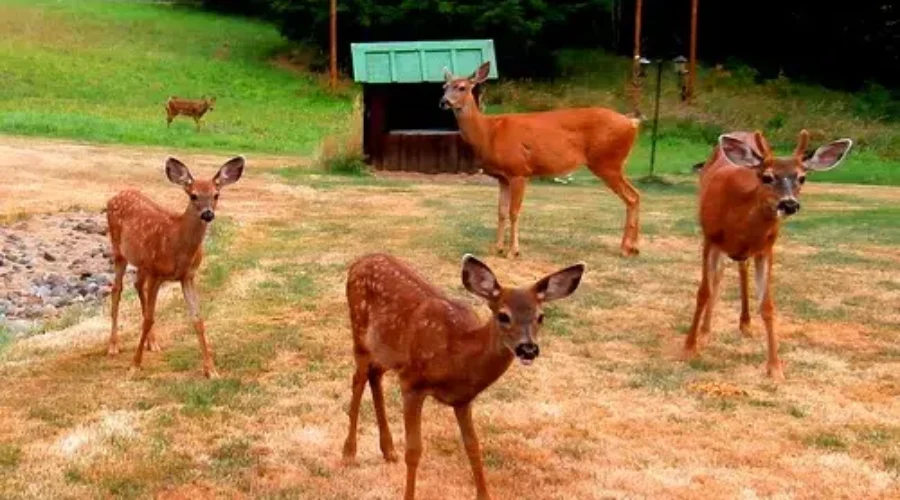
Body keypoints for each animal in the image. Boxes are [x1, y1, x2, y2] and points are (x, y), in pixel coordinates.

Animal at [105, 155, 245, 379]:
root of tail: (115, 196)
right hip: (118, 249)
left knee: (137, 285)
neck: (177, 243)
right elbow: (149, 319)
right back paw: (113, 345)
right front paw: (134, 365)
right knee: (117, 289)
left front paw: (211, 370)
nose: (208, 214)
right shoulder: (157, 273)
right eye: (193, 196)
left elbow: (197, 319)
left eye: (216, 195)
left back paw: (153, 343)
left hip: (143, 263)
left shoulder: (187, 276)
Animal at [342, 252, 585, 500]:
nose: (528, 349)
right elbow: (414, 451)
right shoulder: (411, 382)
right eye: (503, 316)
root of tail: (360, 261)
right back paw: (349, 453)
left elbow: (473, 446)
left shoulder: (463, 399)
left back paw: (388, 450)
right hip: (359, 331)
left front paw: (484, 495)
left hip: (386, 351)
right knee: (358, 379)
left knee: (374, 375)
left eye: (541, 316)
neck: (457, 356)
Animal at [441, 61, 641, 258]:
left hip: (607, 162)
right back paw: (633, 248)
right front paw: (497, 248)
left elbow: (514, 212)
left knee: (631, 197)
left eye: (462, 87)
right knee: (636, 195)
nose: (444, 102)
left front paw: (513, 251)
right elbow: (501, 212)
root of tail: (632, 123)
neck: (488, 132)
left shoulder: (519, 171)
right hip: (612, 164)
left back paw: (626, 248)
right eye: (444, 86)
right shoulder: (502, 177)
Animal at [683, 129, 852, 380]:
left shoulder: (766, 249)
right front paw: (689, 347)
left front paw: (775, 367)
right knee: (718, 278)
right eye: (767, 177)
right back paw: (705, 332)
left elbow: (767, 305)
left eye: (802, 177)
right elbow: (704, 291)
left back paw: (745, 323)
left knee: (740, 269)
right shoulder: (710, 239)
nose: (789, 204)